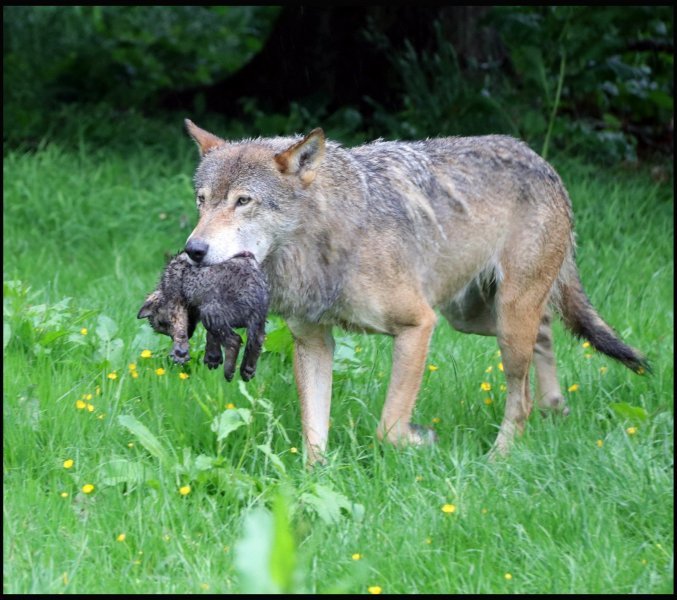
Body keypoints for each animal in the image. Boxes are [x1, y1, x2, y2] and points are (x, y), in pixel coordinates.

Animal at [137, 251, 270, 382]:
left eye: (162, 324)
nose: (190, 334)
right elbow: (211, 336)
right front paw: (213, 357)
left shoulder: (177, 302)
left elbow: (180, 329)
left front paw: (180, 352)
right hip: (256, 320)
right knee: (257, 341)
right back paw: (248, 369)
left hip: (210, 311)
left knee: (234, 340)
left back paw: (229, 371)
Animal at [182, 119, 648, 462]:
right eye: (202, 201)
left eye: (243, 201)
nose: (193, 250)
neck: (323, 240)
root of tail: (542, 162)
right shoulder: (313, 342)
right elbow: (313, 434)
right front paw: (310, 488)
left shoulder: (419, 325)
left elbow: (389, 427)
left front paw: (423, 440)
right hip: (475, 319)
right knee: (547, 329)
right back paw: (556, 406)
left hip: (502, 323)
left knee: (522, 396)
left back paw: (499, 458)